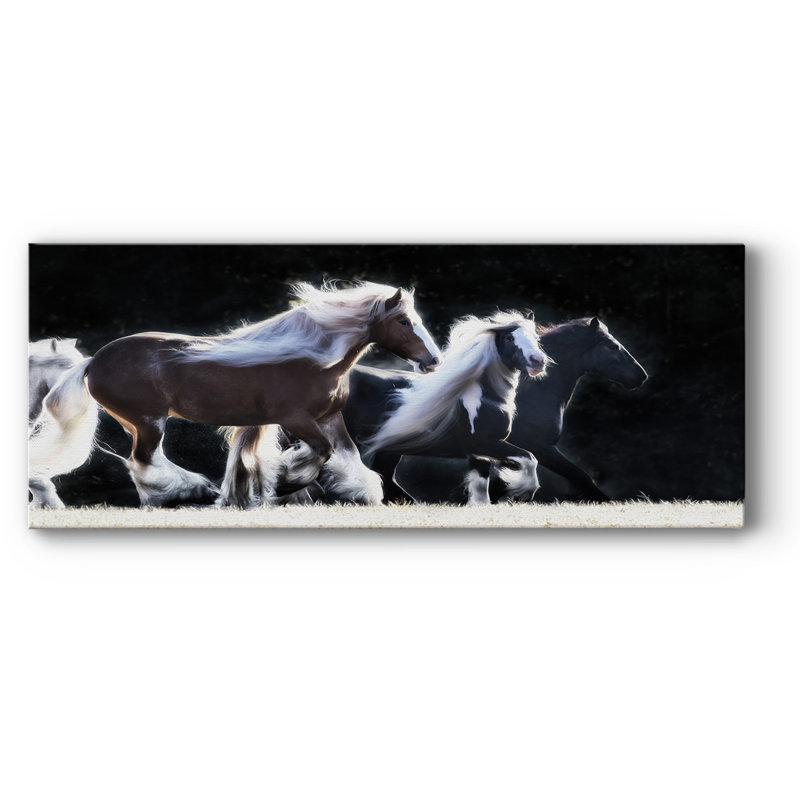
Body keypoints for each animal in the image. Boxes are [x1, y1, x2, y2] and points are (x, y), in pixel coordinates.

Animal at [28, 281, 440, 509]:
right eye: (404, 321)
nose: (433, 360)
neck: (312, 358)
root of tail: (93, 361)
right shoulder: (295, 418)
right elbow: (320, 452)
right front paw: (286, 482)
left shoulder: (329, 417)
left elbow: (348, 453)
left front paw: (362, 491)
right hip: (149, 421)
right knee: (144, 460)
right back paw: (188, 491)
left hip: (136, 423)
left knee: (142, 462)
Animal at [226, 311, 549, 506]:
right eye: (509, 338)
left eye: (535, 339)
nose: (538, 361)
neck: (480, 395)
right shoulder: (482, 443)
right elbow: (529, 458)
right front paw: (523, 492)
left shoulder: (478, 451)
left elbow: (481, 485)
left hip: (386, 449)